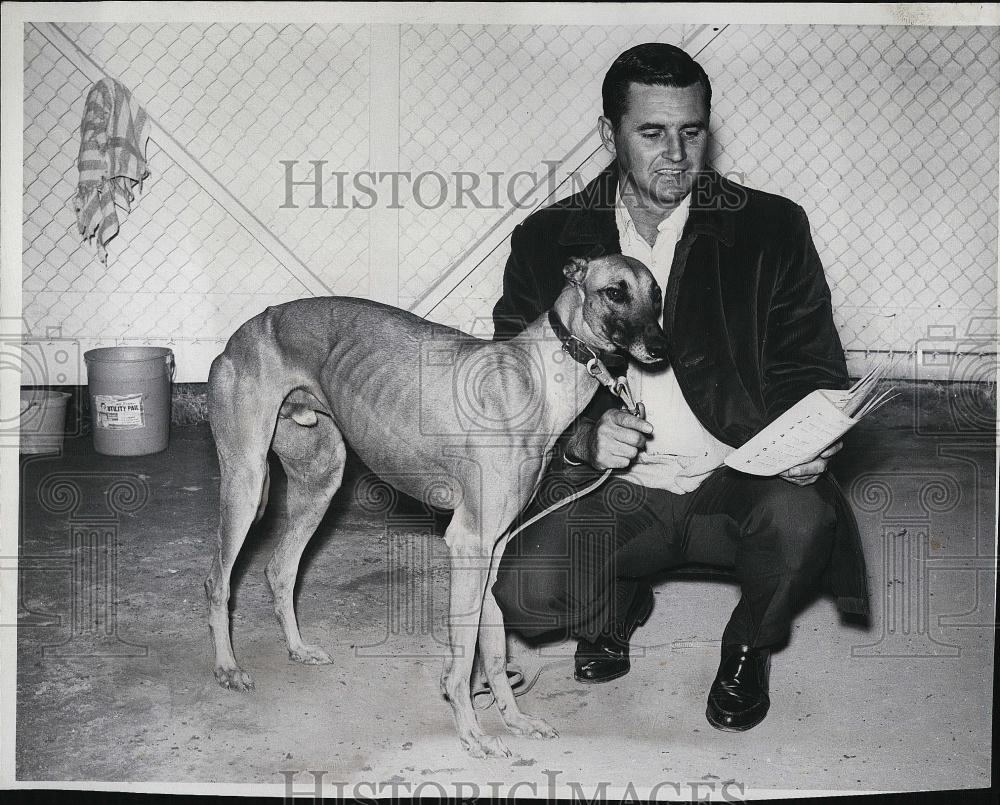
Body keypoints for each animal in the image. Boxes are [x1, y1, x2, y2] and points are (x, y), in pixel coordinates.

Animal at [206, 254, 668, 756]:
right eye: (615, 292)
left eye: (657, 294)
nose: (661, 346)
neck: (532, 379)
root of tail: (248, 329)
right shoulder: (468, 542)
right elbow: (463, 657)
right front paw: (472, 732)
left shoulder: (494, 547)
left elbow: (493, 647)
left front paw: (515, 720)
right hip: (246, 482)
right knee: (218, 580)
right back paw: (227, 668)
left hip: (320, 480)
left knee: (280, 569)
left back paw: (297, 648)